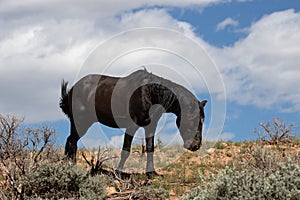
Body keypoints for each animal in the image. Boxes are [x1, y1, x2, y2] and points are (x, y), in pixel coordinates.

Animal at [61, 69, 206, 174]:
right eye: (195, 119)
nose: (196, 146)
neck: (150, 94)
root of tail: (72, 89)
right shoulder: (132, 125)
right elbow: (126, 150)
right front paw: (118, 173)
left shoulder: (150, 126)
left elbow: (150, 148)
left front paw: (151, 173)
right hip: (81, 123)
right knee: (72, 142)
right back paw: (73, 168)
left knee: (70, 141)